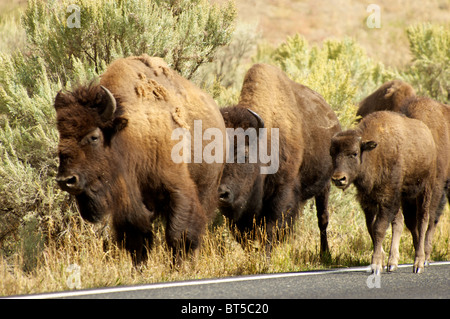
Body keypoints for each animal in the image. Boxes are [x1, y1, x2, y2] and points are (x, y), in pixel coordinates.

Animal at [55, 54, 227, 264]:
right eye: (61, 136)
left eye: (94, 136)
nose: (66, 180)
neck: (128, 134)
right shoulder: (129, 205)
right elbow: (137, 242)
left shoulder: (177, 190)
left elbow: (179, 235)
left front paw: (179, 267)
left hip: (207, 190)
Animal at [218, 64, 342, 255]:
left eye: (245, 155)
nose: (221, 193)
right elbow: (243, 236)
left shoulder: (282, 192)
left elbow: (271, 229)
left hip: (325, 185)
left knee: (322, 218)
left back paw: (325, 253)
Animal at [328, 111, 438, 274]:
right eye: (332, 154)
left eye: (354, 153)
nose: (338, 178)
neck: (374, 153)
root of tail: (428, 136)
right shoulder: (369, 201)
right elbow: (371, 228)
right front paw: (380, 262)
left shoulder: (387, 199)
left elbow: (379, 228)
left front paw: (375, 265)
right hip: (402, 197)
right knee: (400, 222)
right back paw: (392, 263)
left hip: (424, 190)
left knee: (422, 221)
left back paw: (418, 264)